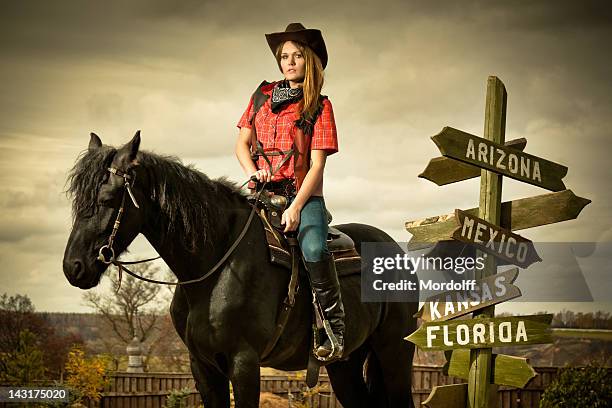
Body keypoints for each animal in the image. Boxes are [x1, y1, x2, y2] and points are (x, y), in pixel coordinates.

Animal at [62, 132, 418, 406]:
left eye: (108, 198)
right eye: (77, 200)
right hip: (345, 365)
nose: (73, 267)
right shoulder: (204, 367)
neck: (214, 266)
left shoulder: (244, 364)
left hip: (395, 354)